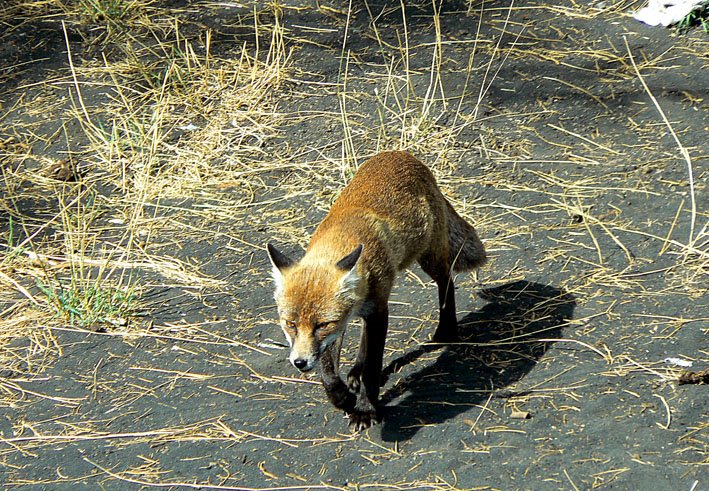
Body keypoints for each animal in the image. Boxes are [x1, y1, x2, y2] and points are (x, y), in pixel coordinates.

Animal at [266, 150, 486, 430]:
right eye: (290, 324)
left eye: (322, 325)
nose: (300, 362)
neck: (341, 239)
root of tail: (402, 154)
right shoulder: (349, 320)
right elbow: (328, 371)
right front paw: (341, 397)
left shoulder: (378, 311)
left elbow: (372, 367)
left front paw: (365, 409)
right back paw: (354, 372)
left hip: (429, 258)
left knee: (447, 283)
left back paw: (446, 330)